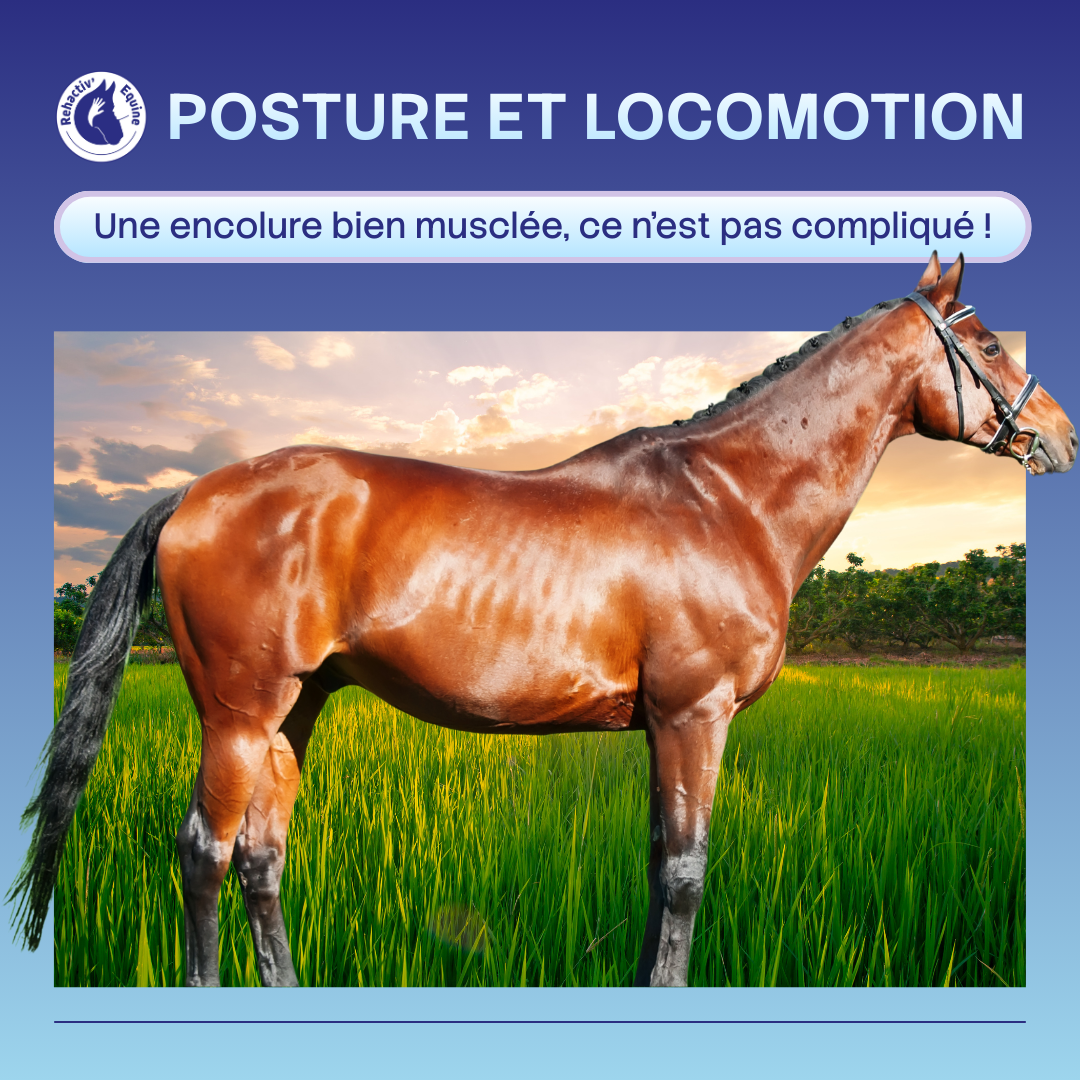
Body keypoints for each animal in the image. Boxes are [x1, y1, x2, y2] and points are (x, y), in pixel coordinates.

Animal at [12, 254, 1076, 987]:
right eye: (986, 343)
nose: (1061, 435)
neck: (728, 498)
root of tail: (193, 493)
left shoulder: (665, 728)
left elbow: (657, 869)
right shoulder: (695, 716)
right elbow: (686, 874)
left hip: (295, 710)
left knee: (260, 858)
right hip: (238, 712)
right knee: (203, 851)